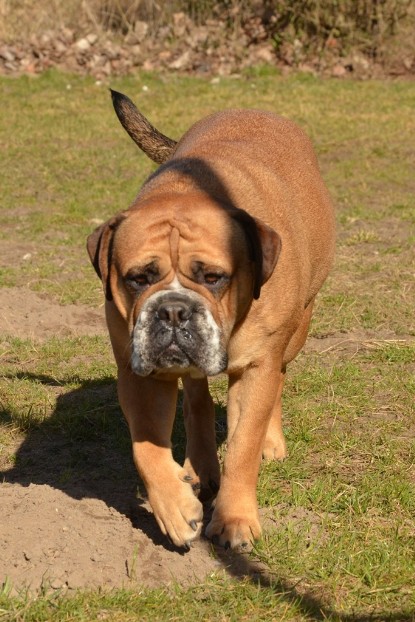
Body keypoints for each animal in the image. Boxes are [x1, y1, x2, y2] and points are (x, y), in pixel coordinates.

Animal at [86, 91, 336, 552]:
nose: (172, 309)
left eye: (214, 277)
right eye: (137, 278)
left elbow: (242, 445)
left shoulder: (257, 366)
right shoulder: (138, 376)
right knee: (197, 398)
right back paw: (199, 467)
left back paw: (270, 441)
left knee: (279, 379)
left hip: (297, 329)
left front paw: (235, 520)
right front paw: (175, 508)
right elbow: (146, 448)